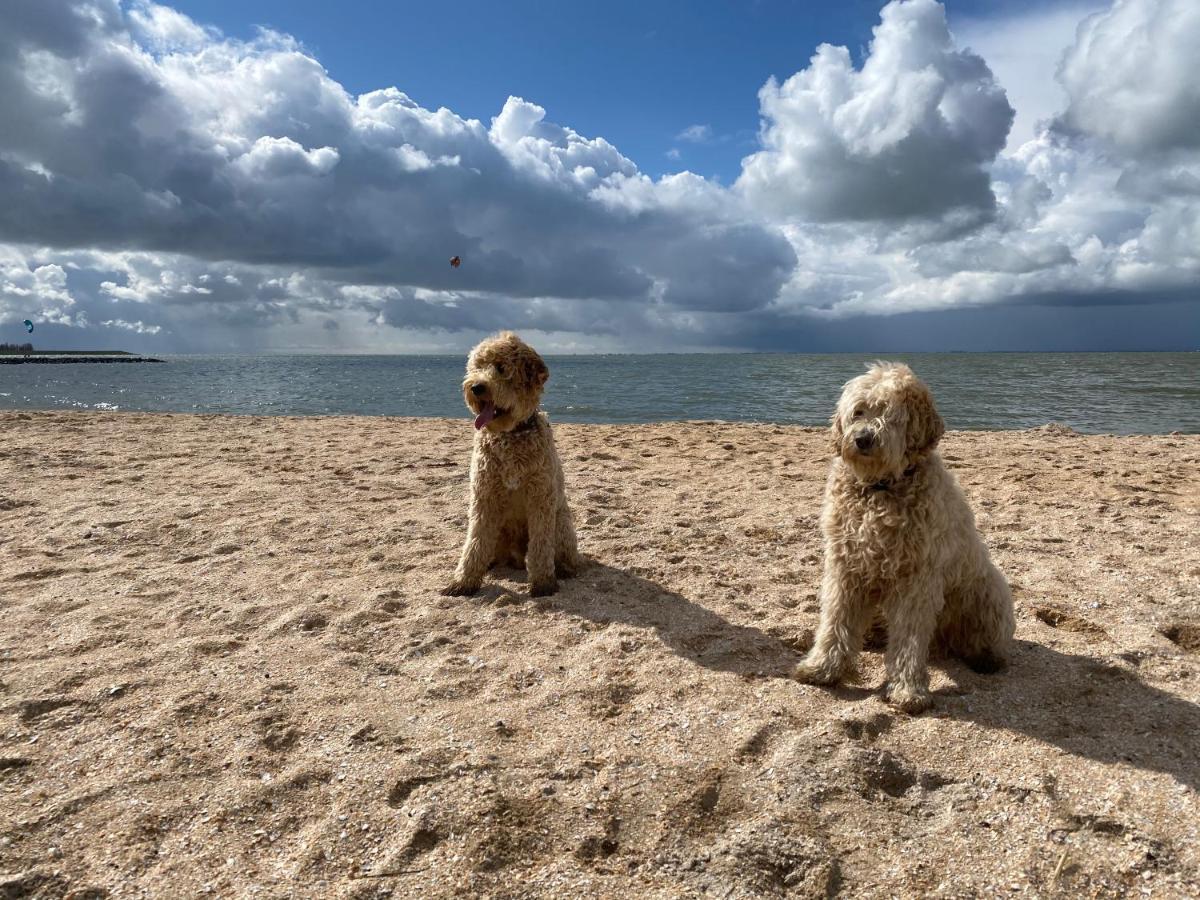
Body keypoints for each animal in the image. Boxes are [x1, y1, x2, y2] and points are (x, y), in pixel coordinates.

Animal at [446, 331, 585, 600]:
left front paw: (543, 584)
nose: (476, 387)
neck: (511, 435)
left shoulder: (541, 498)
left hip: (561, 522)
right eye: (477, 366)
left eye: (502, 368)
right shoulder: (484, 497)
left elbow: (541, 546)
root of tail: (517, 558)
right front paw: (463, 581)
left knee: (561, 554)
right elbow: (475, 542)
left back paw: (564, 569)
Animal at [792, 362, 1017, 715]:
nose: (863, 439)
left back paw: (986, 659)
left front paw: (907, 691)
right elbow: (835, 622)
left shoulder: (916, 581)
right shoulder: (845, 568)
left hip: (989, 591)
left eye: (891, 415)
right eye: (859, 411)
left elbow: (909, 640)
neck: (879, 490)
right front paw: (822, 668)